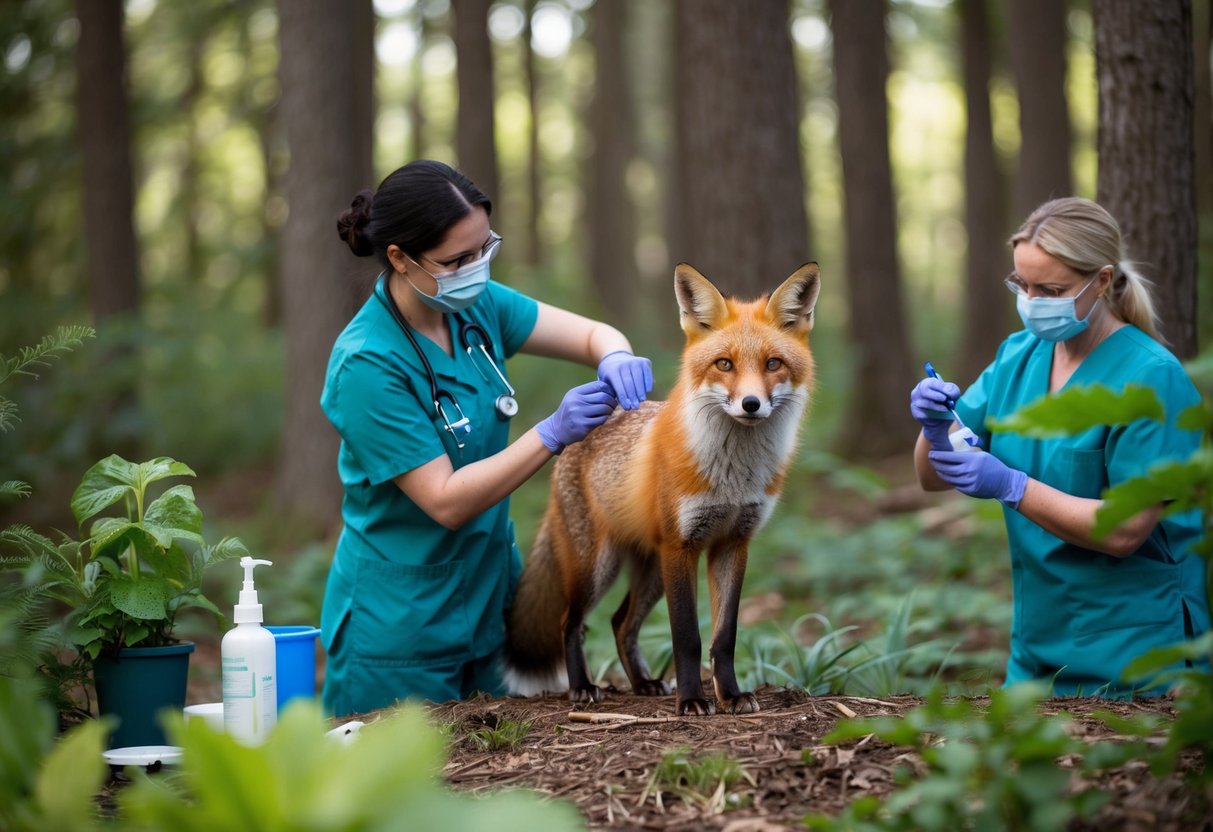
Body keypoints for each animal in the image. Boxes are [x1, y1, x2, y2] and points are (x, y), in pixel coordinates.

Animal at [504, 262, 821, 715]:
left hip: (650, 570)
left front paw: (731, 695)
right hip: (599, 565)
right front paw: (692, 700)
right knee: (571, 621)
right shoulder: (681, 545)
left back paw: (644, 683)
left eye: (773, 363)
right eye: (724, 364)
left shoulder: (733, 543)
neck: (733, 478)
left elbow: (724, 637)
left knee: (620, 623)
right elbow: (687, 637)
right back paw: (582, 686)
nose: (751, 404)